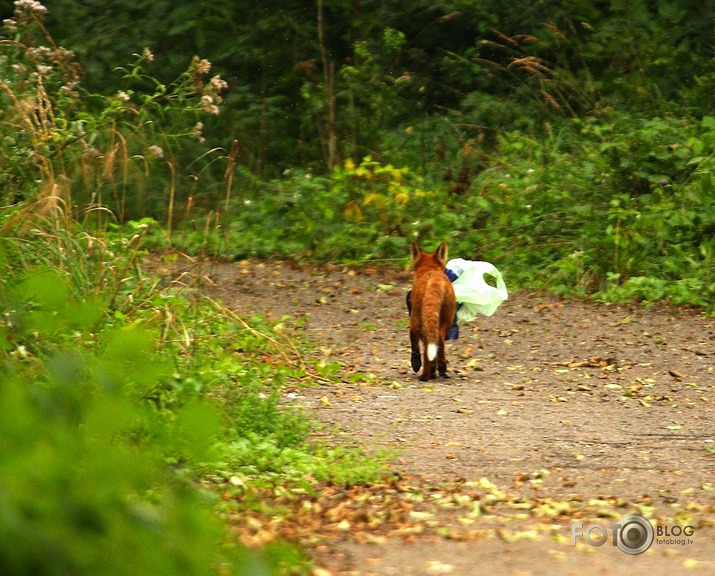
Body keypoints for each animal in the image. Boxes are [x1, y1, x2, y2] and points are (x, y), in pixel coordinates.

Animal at [408, 240, 458, 380]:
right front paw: (435, 370)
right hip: (446, 320)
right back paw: (440, 368)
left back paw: (425, 376)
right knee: (439, 340)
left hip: (418, 319)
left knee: (427, 348)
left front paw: (416, 363)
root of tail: (435, 279)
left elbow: (415, 346)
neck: (430, 270)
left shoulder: (413, 325)